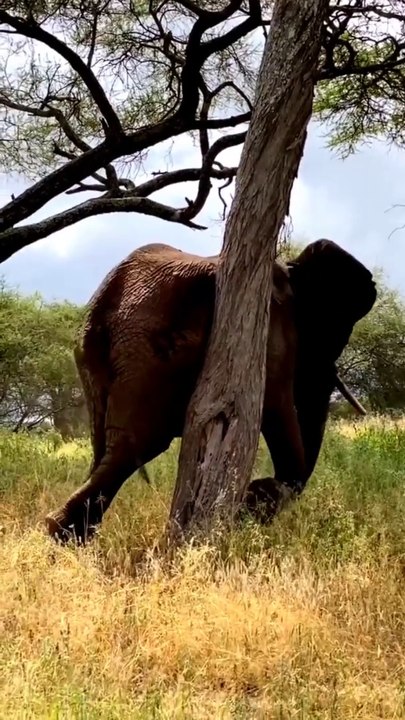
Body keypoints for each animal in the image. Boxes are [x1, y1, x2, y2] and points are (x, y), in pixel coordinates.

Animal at [45, 239, 377, 543]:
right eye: (335, 327)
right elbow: (276, 406)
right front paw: (251, 504)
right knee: (138, 444)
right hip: (149, 349)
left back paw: (68, 536)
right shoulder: (270, 327)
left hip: (93, 350)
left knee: (105, 446)